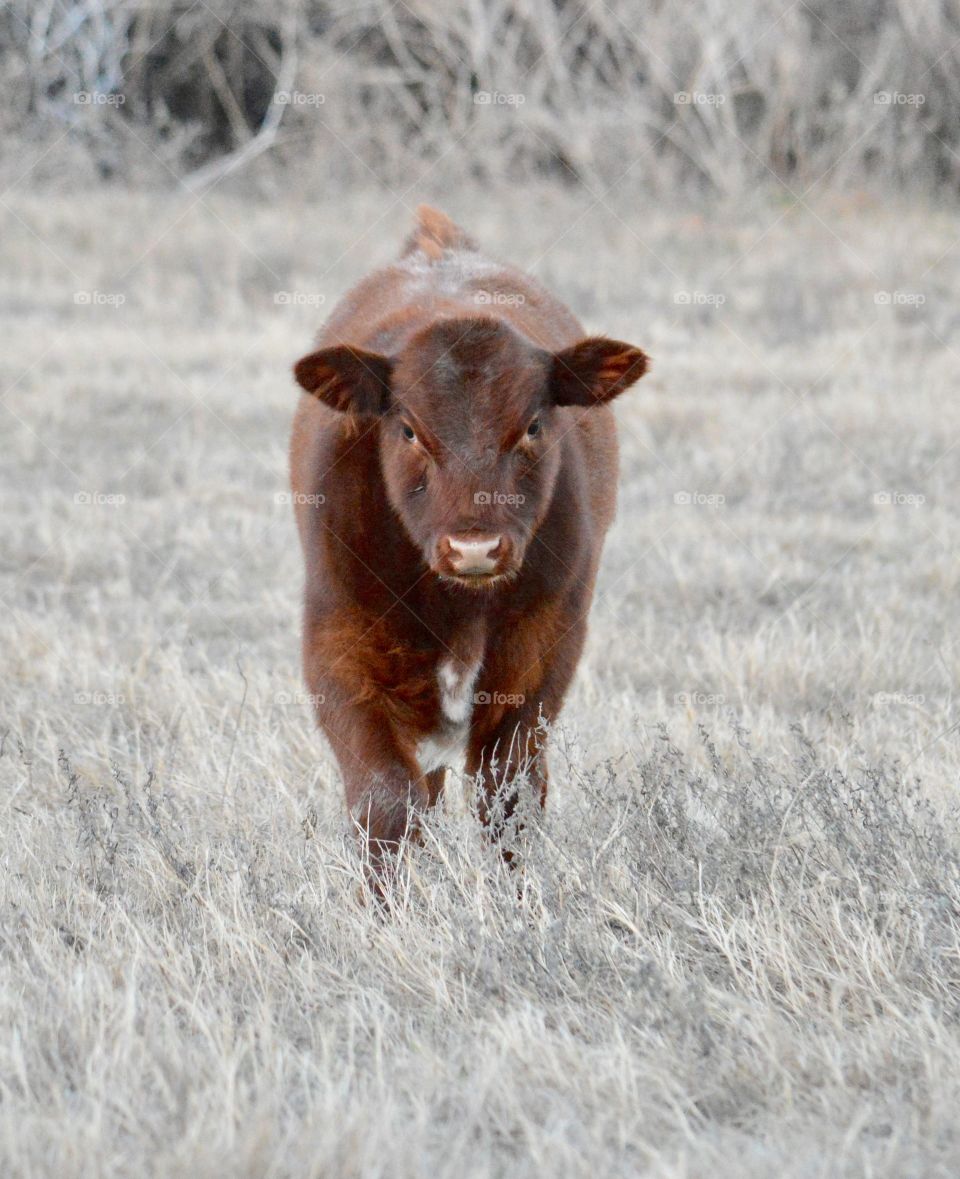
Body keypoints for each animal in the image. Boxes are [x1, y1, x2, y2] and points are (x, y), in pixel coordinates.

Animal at [289, 205, 648, 880]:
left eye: (532, 426)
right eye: (408, 430)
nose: (474, 549)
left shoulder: (543, 655)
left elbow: (509, 796)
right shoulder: (339, 648)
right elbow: (385, 798)